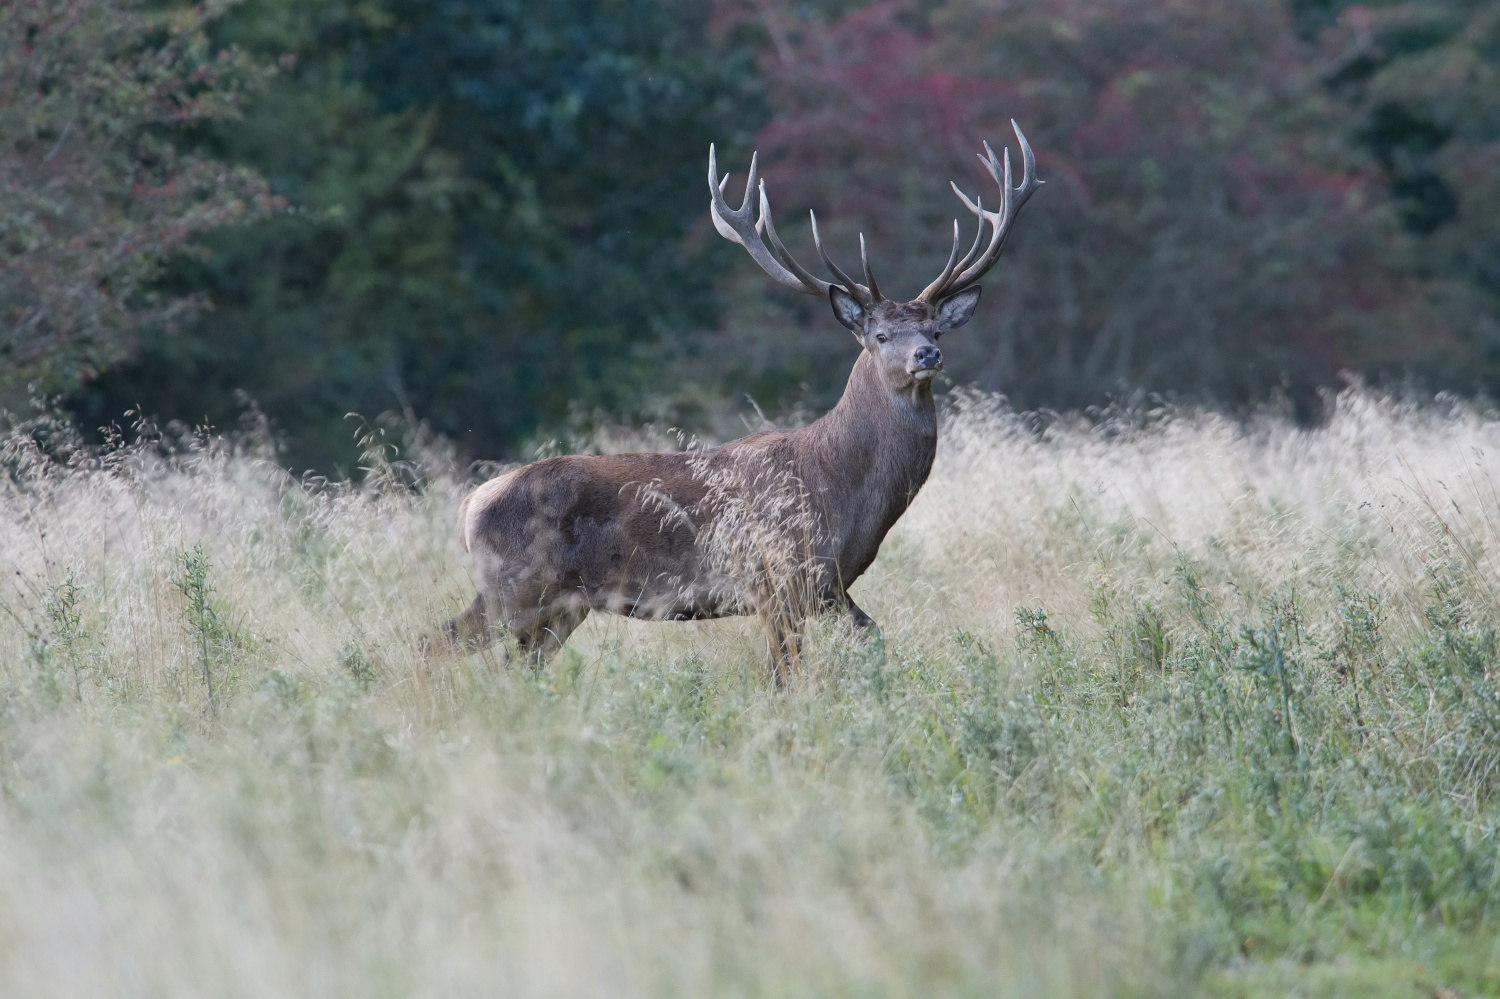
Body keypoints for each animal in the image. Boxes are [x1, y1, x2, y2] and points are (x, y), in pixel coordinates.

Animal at [447, 120, 1044, 672]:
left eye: (936, 329)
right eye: (879, 335)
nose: (927, 355)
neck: (840, 486)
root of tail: (470, 504)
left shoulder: (827, 585)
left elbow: (870, 637)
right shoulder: (776, 576)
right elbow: (784, 674)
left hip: (561, 605)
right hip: (517, 589)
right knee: (446, 643)